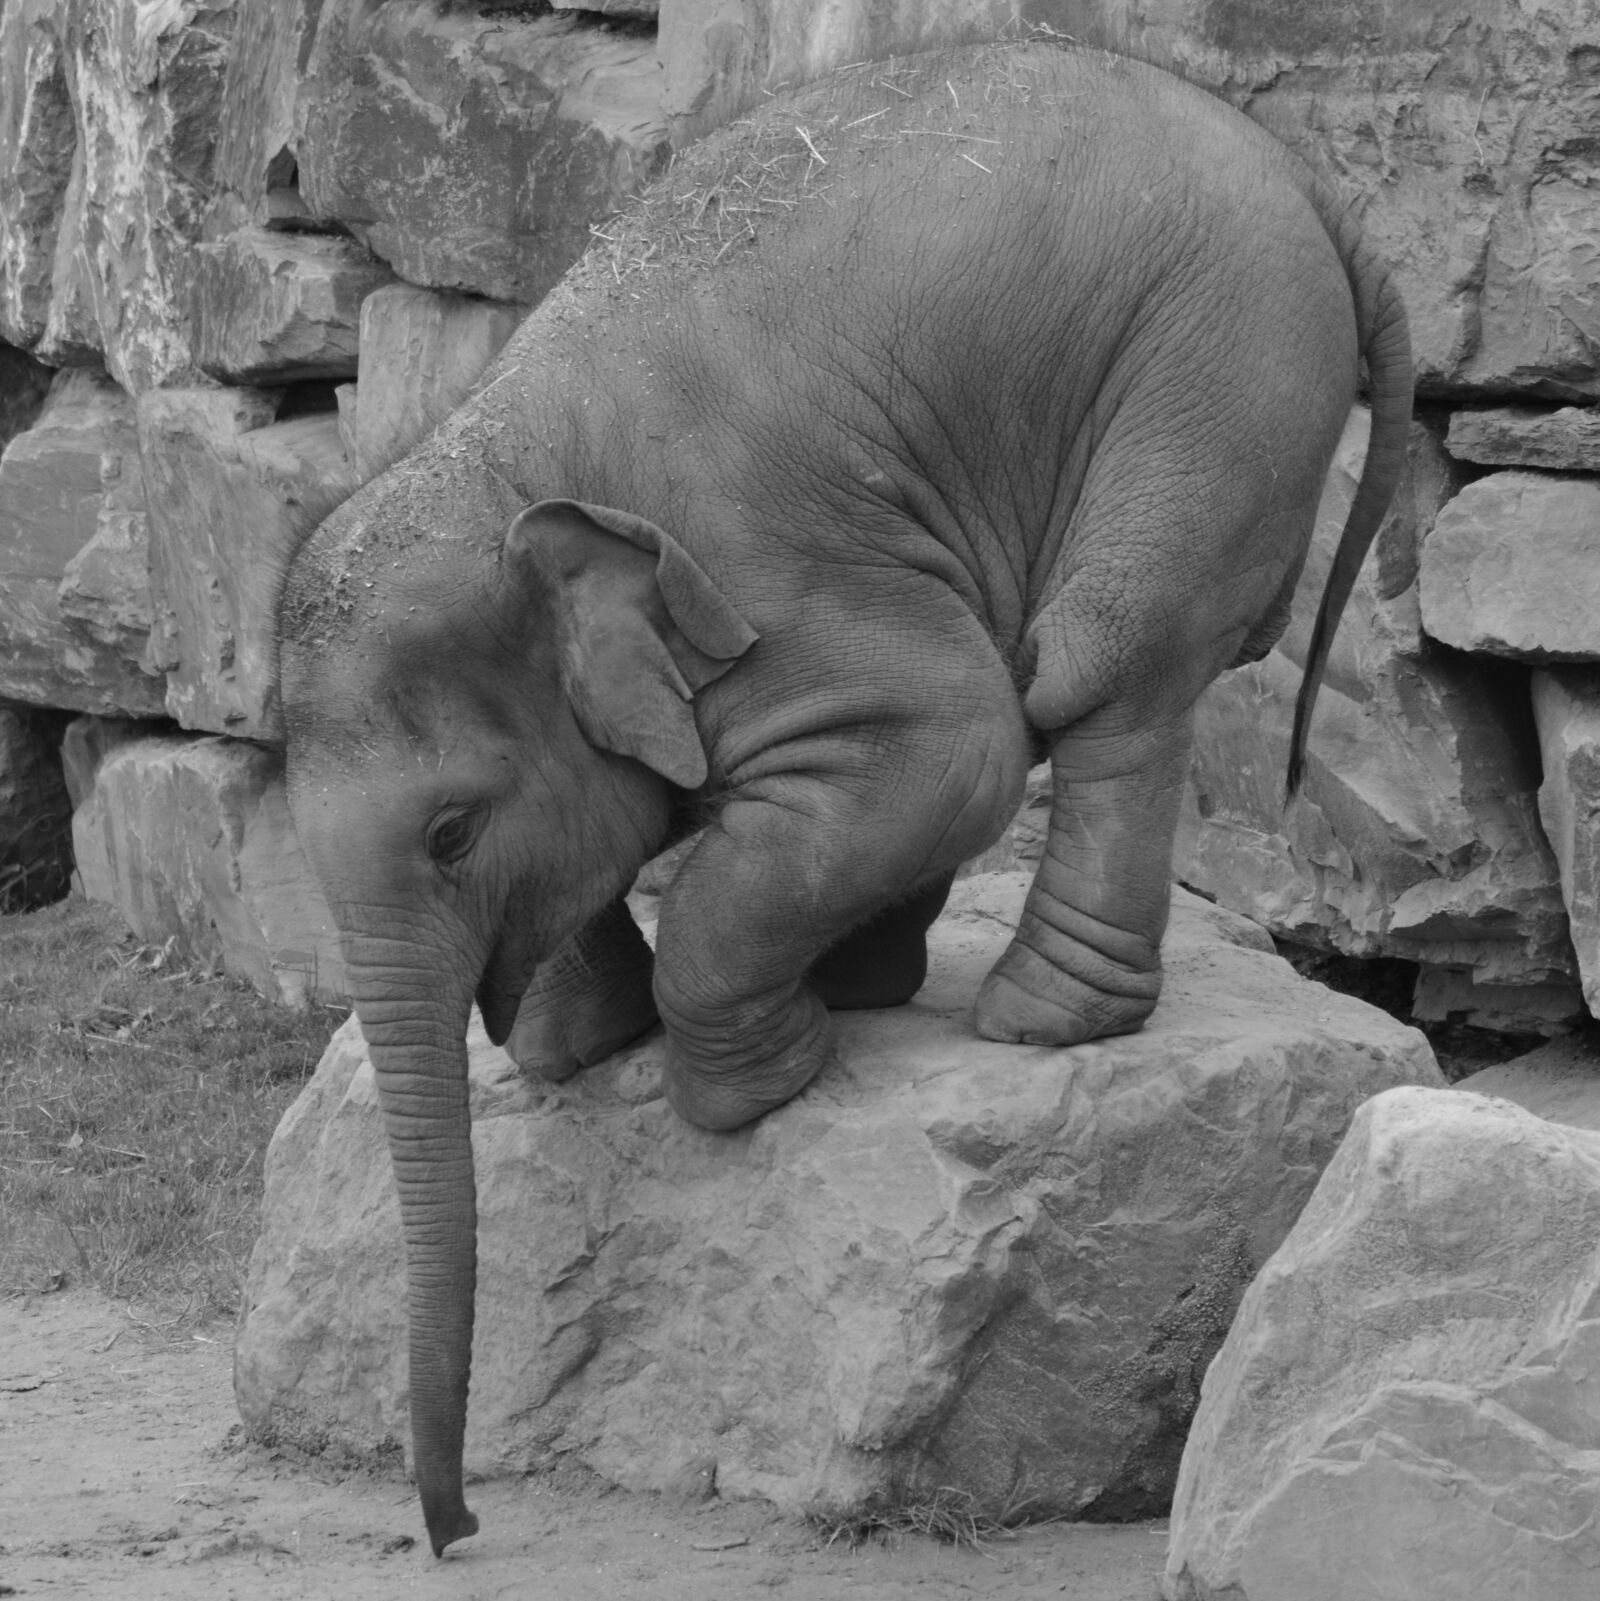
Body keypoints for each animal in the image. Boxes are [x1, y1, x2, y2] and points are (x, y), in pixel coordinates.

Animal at [277, 41, 1411, 1555]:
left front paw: (765, 1085)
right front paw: (589, 1045)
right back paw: (879, 981)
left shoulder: (771, 572)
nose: (455, 1532)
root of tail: (1302, 169)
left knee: (1097, 665)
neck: (501, 459)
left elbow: (954, 747)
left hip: (1218, 369)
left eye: (451, 833)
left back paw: (1034, 1020)